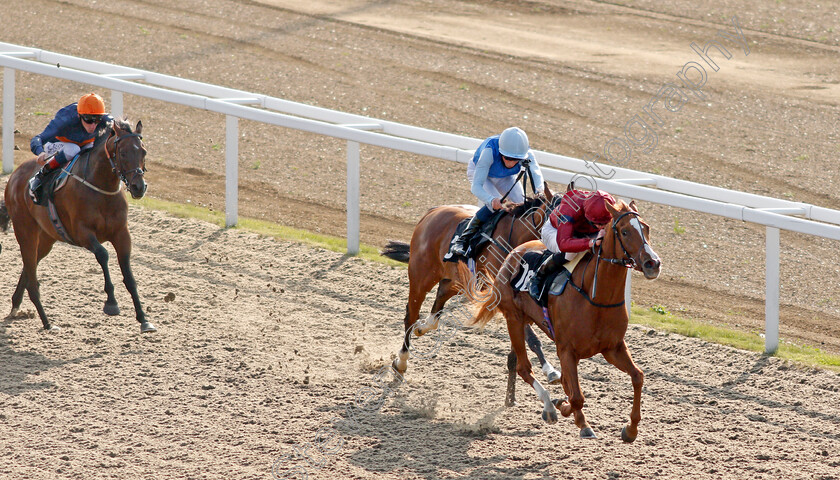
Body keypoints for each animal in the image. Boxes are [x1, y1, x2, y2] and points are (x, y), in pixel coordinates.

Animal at [0, 118, 156, 332]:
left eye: (144, 152)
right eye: (123, 153)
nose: (139, 187)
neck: (101, 189)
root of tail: (14, 177)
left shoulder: (122, 234)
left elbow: (129, 275)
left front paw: (143, 319)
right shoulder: (82, 233)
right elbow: (103, 255)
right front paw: (111, 303)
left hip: (47, 238)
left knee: (29, 266)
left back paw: (16, 304)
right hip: (25, 230)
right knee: (31, 276)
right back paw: (47, 323)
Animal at [382, 188, 556, 378]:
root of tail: (432, 212)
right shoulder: (503, 297)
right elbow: (531, 337)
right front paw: (550, 369)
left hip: (456, 281)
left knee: (439, 300)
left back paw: (421, 328)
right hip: (421, 276)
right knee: (411, 315)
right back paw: (401, 361)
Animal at [470, 197, 660, 440]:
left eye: (646, 228)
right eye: (625, 231)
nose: (652, 263)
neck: (596, 297)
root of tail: (513, 253)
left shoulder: (613, 348)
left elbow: (637, 376)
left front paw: (630, 429)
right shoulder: (566, 349)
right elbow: (577, 397)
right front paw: (574, 416)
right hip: (514, 319)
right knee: (523, 368)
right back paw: (549, 407)